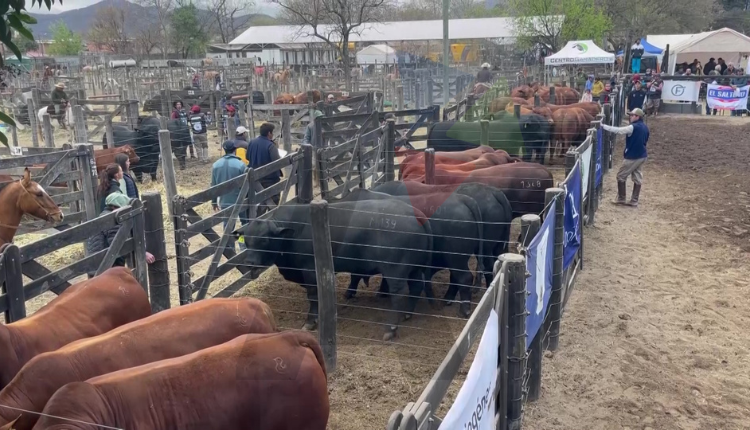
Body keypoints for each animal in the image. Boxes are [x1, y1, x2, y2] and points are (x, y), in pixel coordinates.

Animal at [240, 201, 433, 341]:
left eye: (264, 240)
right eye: (247, 240)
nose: (250, 263)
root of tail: (416, 213)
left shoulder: (309, 271)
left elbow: (313, 296)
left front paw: (310, 321)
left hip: (395, 270)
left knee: (398, 294)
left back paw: (391, 328)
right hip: (414, 269)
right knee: (416, 287)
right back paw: (407, 314)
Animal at [334, 188, 484, 318]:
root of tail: (462, 198)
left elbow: (355, 276)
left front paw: (350, 293)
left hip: (455, 259)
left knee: (464, 278)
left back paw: (463, 310)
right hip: (456, 260)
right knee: (455, 279)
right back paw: (447, 299)